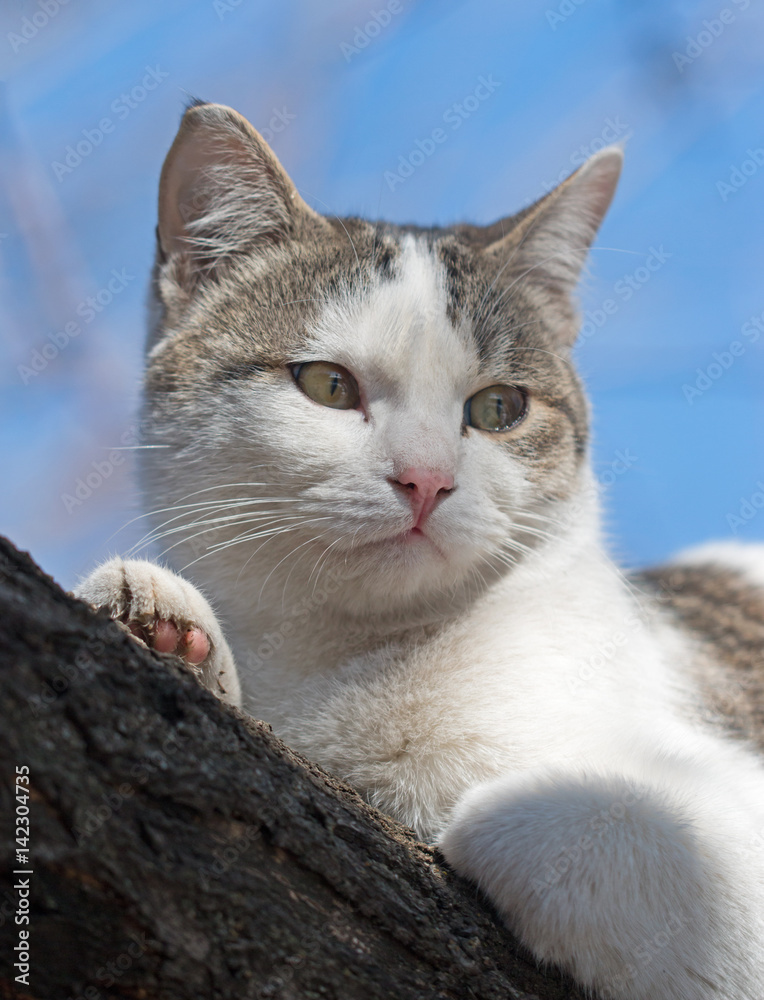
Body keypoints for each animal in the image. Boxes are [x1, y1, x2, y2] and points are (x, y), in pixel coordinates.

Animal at [76, 103, 764, 1000]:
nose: (427, 479)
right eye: (328, 385)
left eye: (500, 407)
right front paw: (167, 632)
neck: (362, 664)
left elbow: (594, 820)